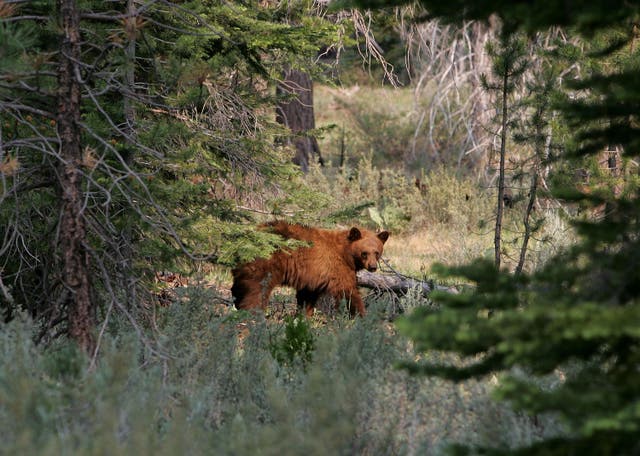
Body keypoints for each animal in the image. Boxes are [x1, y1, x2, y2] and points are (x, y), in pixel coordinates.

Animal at [231, 221, 390, 317]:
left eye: (377, 252)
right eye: (364, 253)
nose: (373, 267)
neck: (346, 253)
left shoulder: (312, 275)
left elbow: (307, 296)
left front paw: (303, 317)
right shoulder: (337, 268)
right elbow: (349, 291)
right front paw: (361, 315)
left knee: (240, 287)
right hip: (265, 265)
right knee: (257, 291)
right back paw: (252, 314)